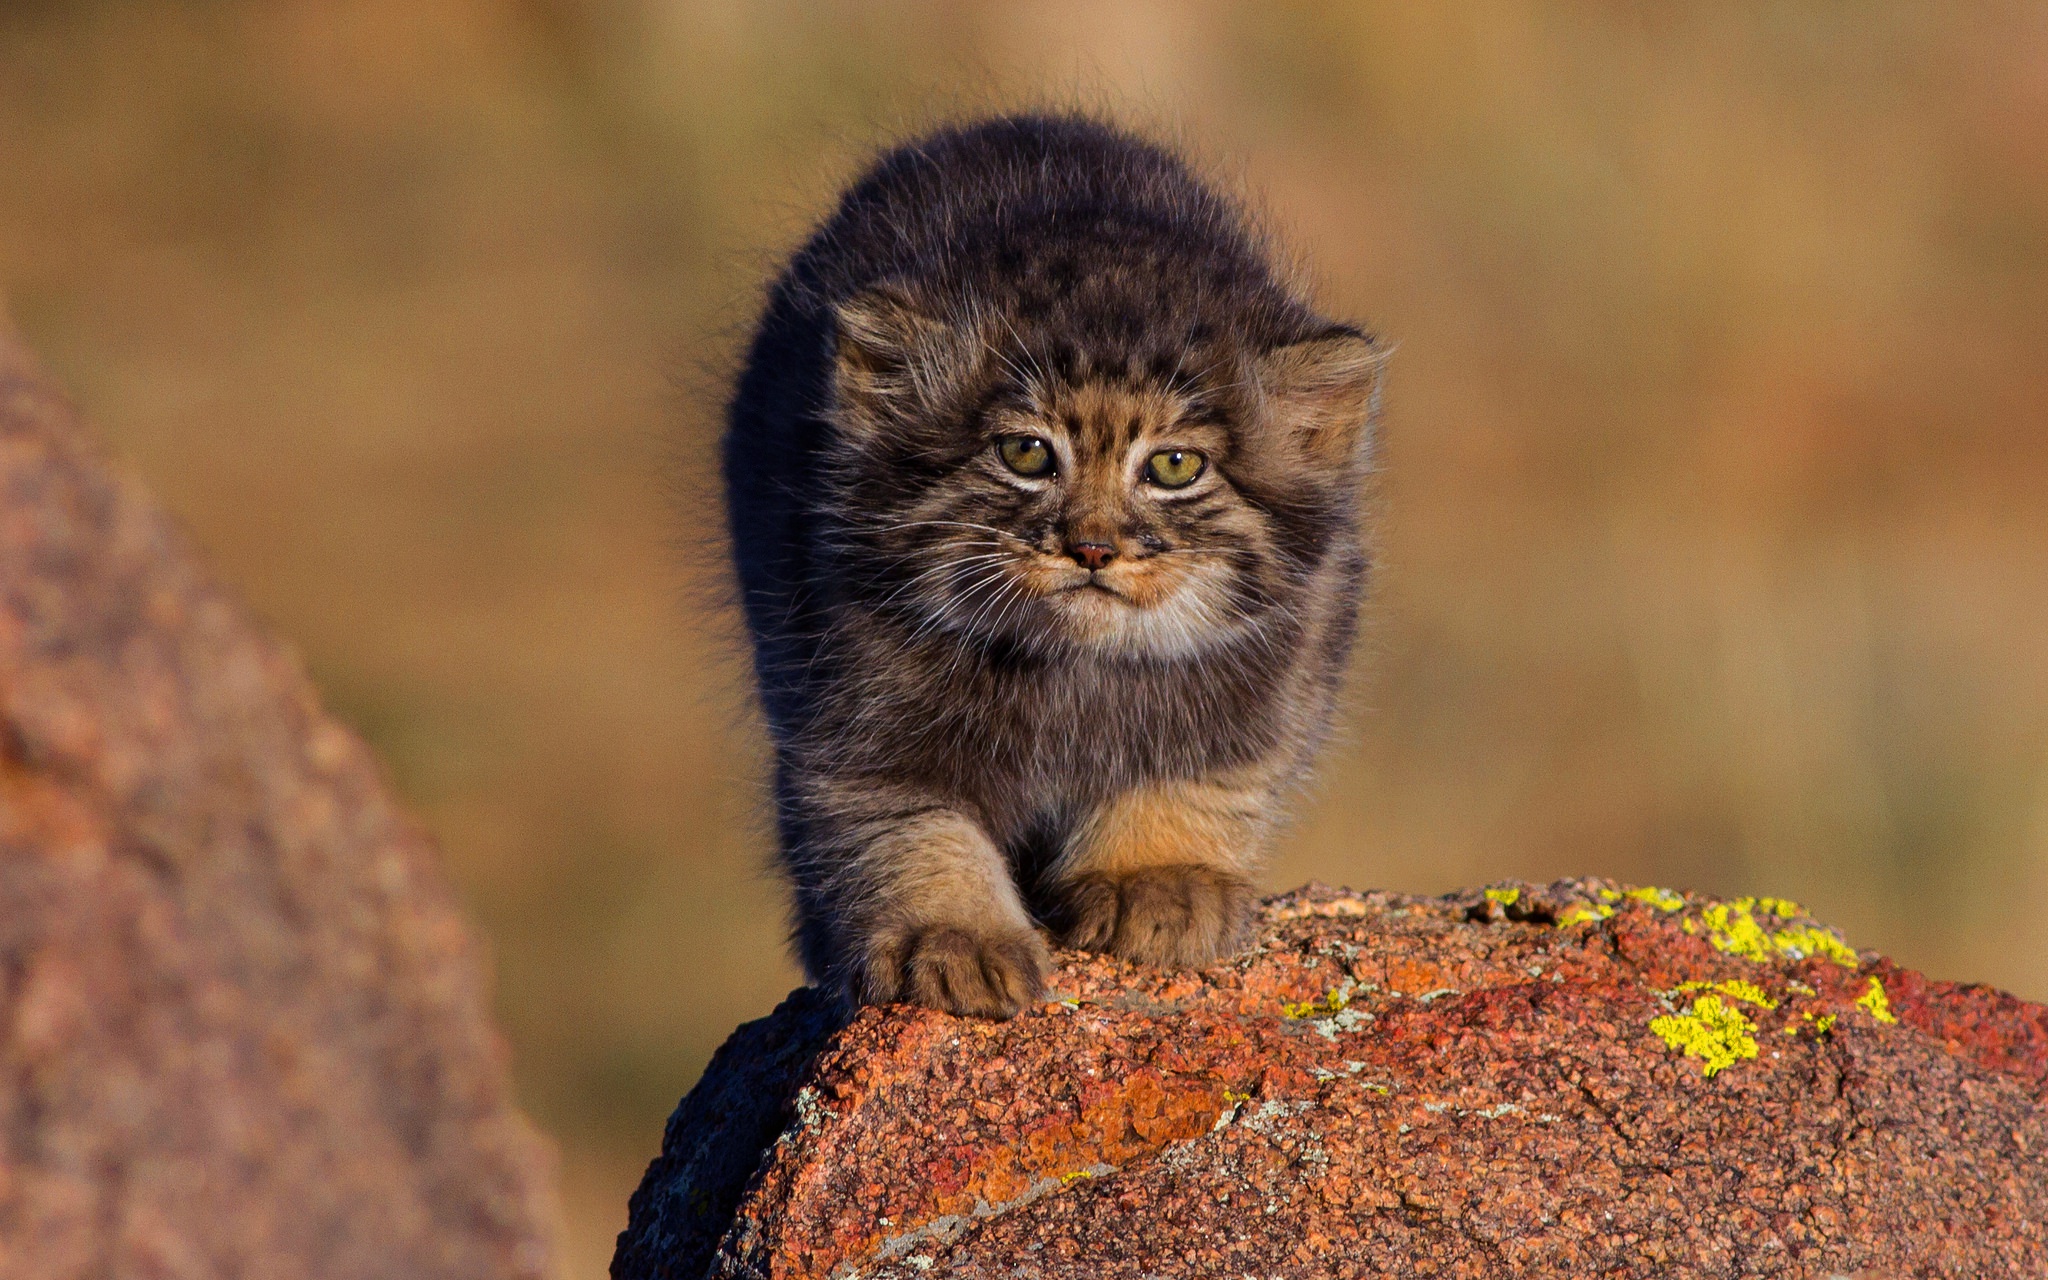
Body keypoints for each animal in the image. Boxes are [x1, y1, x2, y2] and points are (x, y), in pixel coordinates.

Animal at [720, 119, 1376, 1019]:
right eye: (1027, 454)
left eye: (1174, 467)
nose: (1092, 546)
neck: (1071, 673)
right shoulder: (847, 719)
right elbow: (902, 831)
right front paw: (950, 938)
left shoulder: (1273, 679)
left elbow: (1188, 778)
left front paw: (1156, 879)